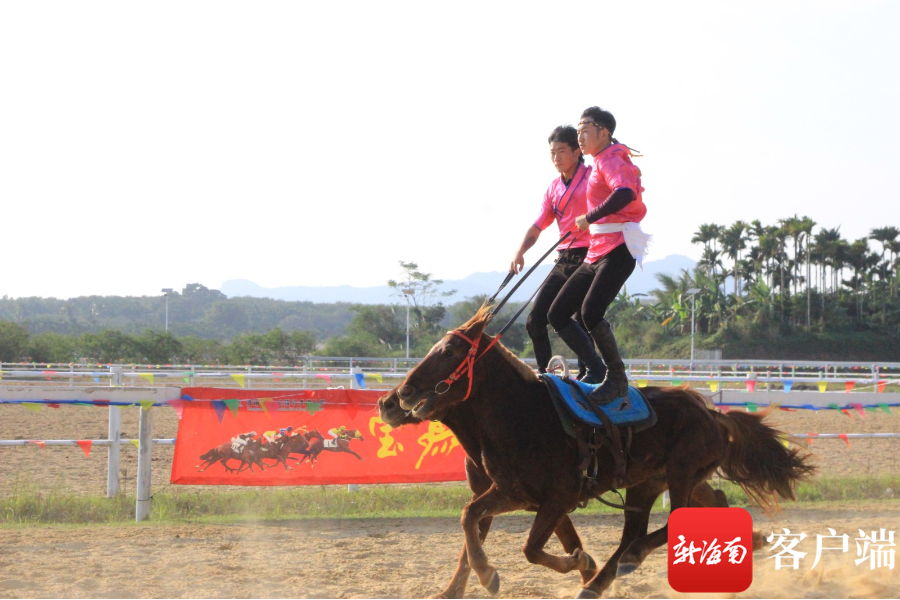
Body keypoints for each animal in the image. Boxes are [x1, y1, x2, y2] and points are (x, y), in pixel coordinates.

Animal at [395, 306, 813, 599]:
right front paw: (486, 575)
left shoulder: (556, 498)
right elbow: (470, 517)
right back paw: (601, 580)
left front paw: (576, 559)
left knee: (666, 525)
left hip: (681, 475)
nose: (402, 394)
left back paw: (624, 563)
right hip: (653, 483)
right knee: (691, 512)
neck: (524, 417)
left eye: (448, 351)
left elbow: (530, 547)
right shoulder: (512, 493)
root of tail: (712, 414)